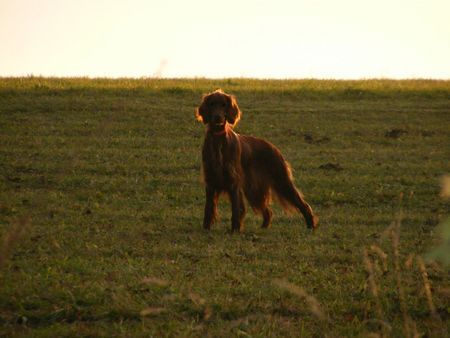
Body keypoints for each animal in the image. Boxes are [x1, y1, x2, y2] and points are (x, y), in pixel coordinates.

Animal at [195, 88, 318, 232]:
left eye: (224, 105)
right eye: (212, 104)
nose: (218, 118)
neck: (218, 140)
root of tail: (273, 147)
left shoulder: (233, 181)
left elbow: (236, 209)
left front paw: (235, 230)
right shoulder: (210, 180)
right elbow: (208, 208)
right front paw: (206, 229)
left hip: (281, 180)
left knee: (303, 205)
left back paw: (310, 225)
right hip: (253, 188)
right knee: (268, 211)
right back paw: (264, 227)